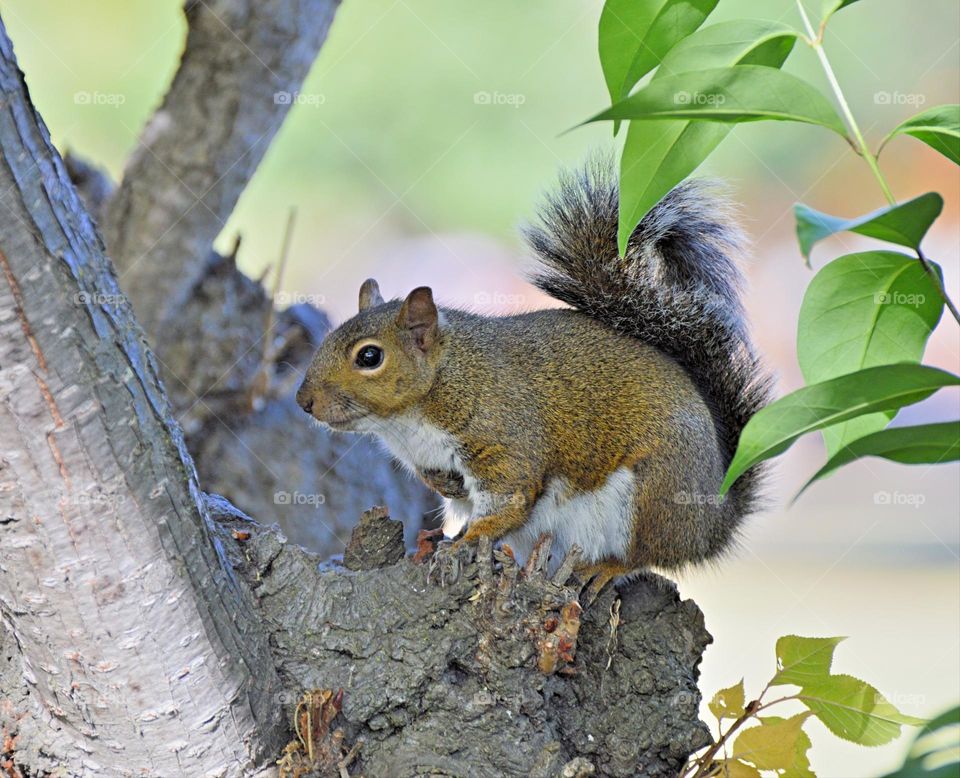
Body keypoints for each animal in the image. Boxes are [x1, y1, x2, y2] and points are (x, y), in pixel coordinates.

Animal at [296, 160, 771, 596]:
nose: (304, 401)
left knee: (646, 554)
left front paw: (466, 542)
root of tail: (714, 521)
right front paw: (447, 499)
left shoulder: (504, 436)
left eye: (369, 356)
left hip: (655, 492)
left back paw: (606, 567)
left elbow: (511, 498)